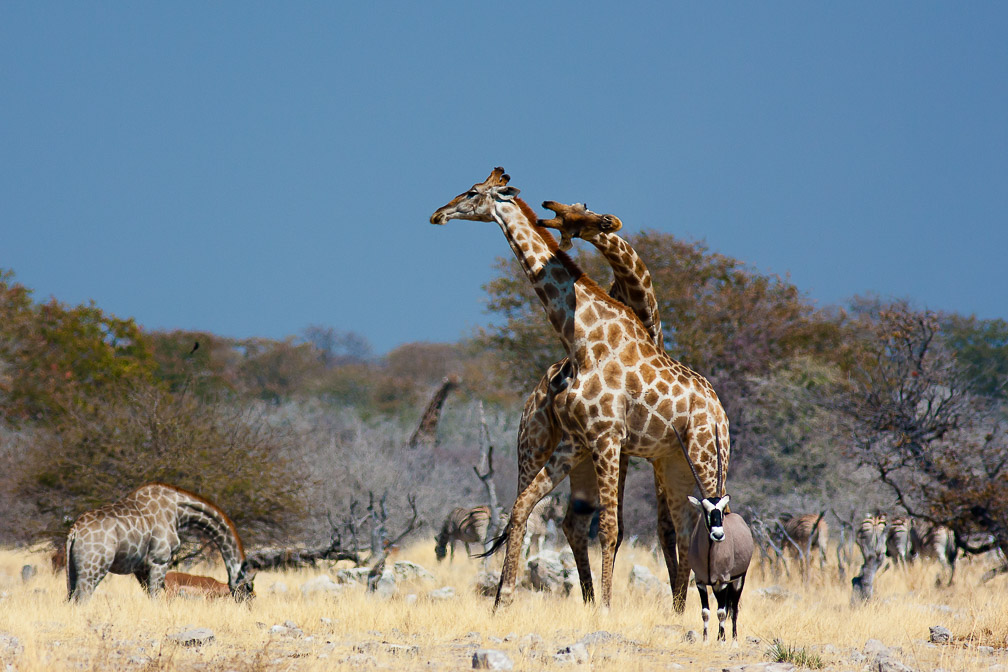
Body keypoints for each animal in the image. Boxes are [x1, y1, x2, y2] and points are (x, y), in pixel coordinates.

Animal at [65, 481, 254, 600]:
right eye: (248, 587)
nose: (246, 606)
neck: (178, 511)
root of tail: (74, 531)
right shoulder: (160, 561)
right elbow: (156, 599)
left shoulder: (140, 569)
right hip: (94, 569)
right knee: (81, 598)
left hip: (73, 570)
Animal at [429, 168, 729, 608]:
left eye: (471, 192)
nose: (438, 213)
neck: (585, 338)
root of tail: (720, 409)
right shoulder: (576, 441)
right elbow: (524, 508)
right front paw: (503, 600)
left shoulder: (608, 440)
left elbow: (610, 527)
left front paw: (603, 606)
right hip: (663, 461)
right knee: (685, 522)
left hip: (706, 457)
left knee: (711, 518)